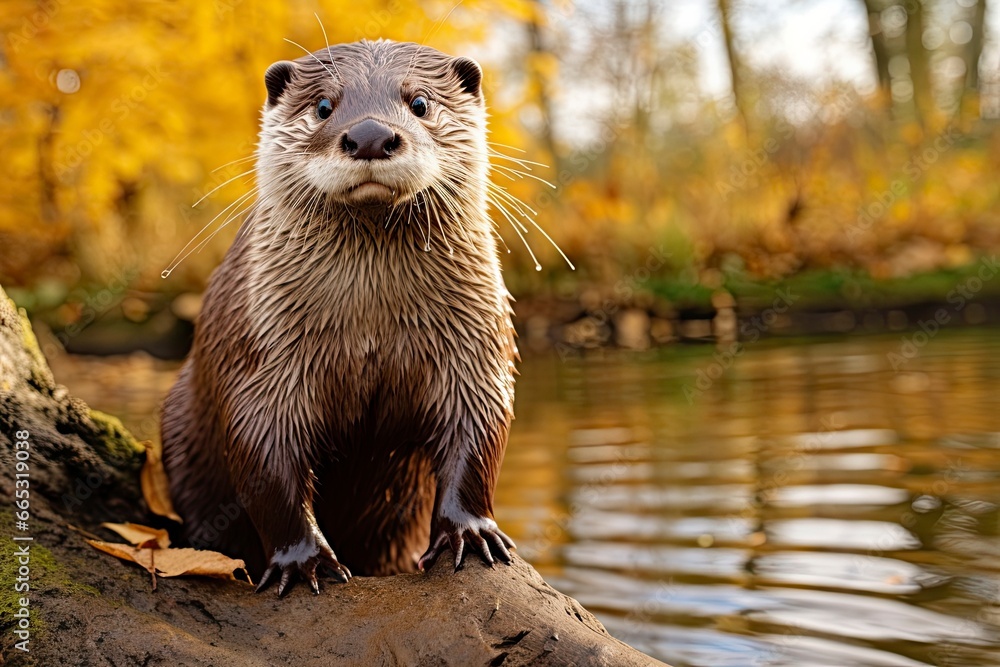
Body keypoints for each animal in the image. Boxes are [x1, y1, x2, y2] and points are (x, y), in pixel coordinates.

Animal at [160, 39, 520, 596]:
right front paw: (303, 560)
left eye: (420, 102)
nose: (370, 134)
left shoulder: (474, 344)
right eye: (325, 106)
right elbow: (264, 455)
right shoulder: (261, 355)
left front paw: (470, 532)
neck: (370, 322)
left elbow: (479, 427)